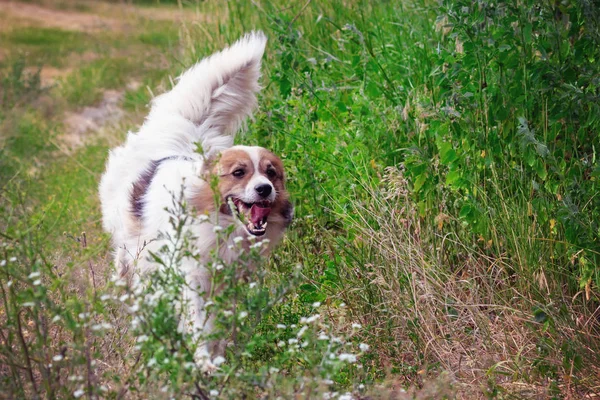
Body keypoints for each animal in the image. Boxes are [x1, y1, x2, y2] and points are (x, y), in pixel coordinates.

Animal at [98, 32, 292, 372]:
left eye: (271, 173)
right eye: (239, 173)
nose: (265, 189)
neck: (222, 226)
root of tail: (174, 135)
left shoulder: (231, 281)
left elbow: (218, 322)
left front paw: (217, 355)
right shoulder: (191, 276)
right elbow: (197, 319)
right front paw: (203, 361)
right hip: (130, 248)